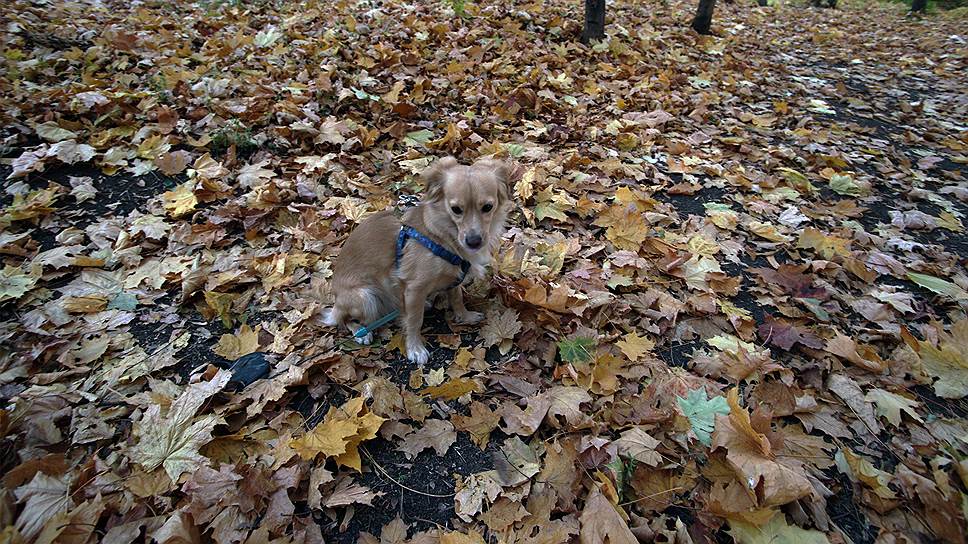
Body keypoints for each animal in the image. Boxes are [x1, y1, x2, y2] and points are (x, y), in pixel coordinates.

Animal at [324, 156, 510, 366]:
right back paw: (361, 333)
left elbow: (457, 298)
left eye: (487, 207)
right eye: (456, 209)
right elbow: (414, 321)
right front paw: (415, 349)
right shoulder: (414, 288)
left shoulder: (454, 278)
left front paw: (465, 316)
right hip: (365, 297)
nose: (474, 241)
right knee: (345, 320)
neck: (441, 236)